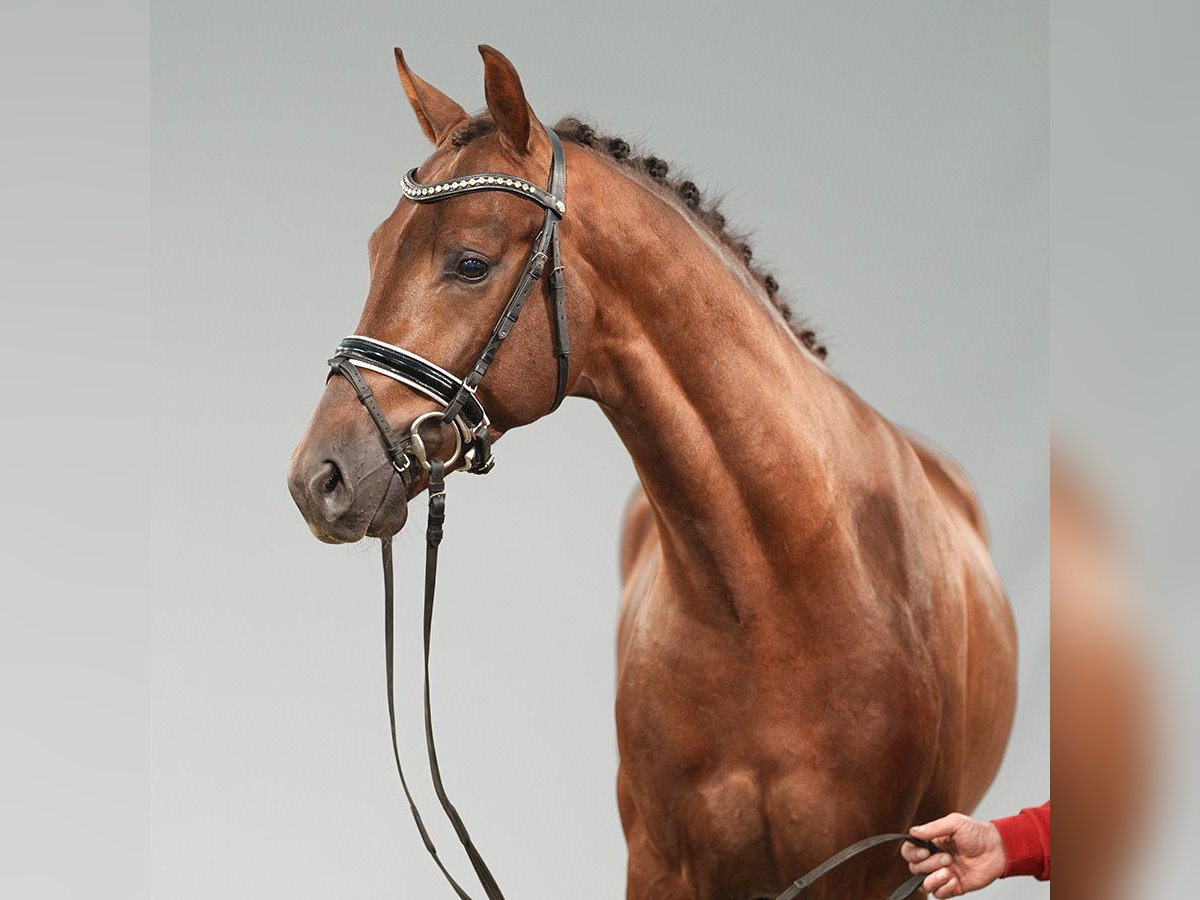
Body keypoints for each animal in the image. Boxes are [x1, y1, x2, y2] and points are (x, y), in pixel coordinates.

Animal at [288, 47, 1012, 900]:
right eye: (375, 250)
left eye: (470, 263)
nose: (320, 478)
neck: (774, 595)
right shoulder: (660, 863)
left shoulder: (870, 870)